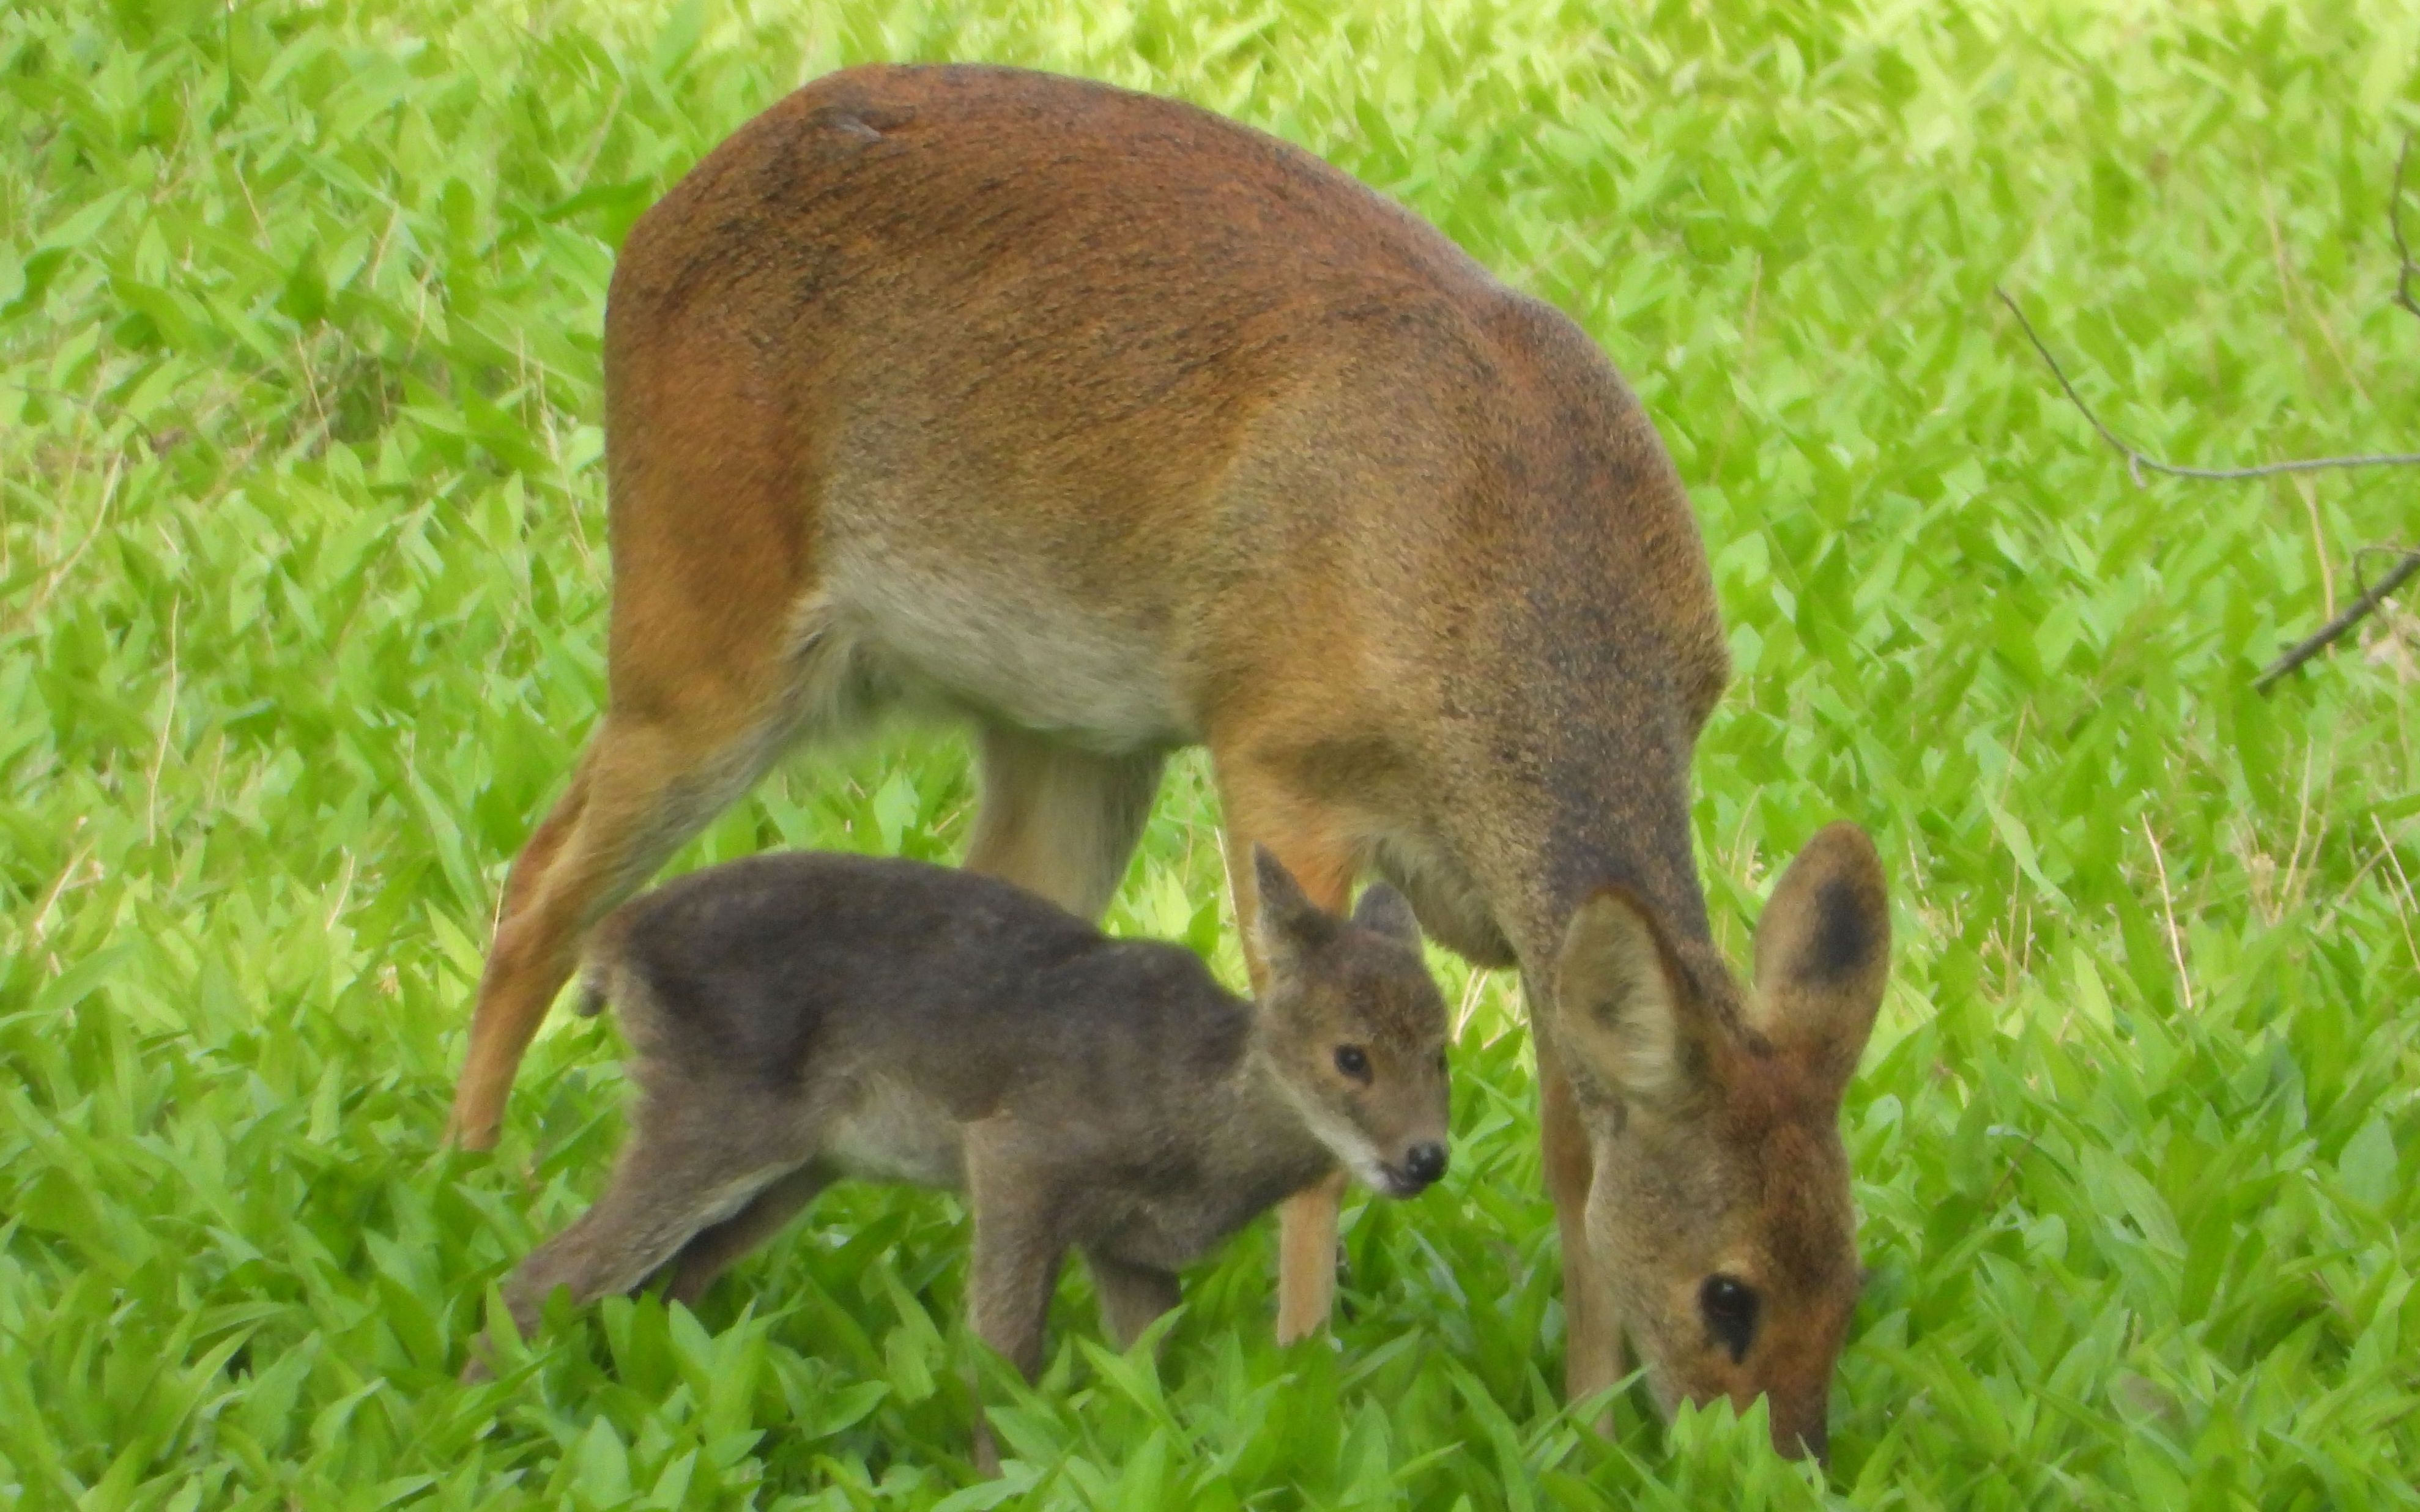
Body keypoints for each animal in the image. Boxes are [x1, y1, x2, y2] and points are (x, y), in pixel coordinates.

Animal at [481, 851, 1442, 1461]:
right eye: (1350, 1057)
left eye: (1442, 1053)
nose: (1426, 1160)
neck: (1191, 1114)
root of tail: (614, 942)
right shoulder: (1019, 1154)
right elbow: (1004, 1355)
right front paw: (1003, 1473)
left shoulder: (1128, 1246)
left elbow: (1147, 1373)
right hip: (711, 1119)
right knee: (542, 1276)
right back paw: (491, 1416)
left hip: (795, 1167)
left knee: (665, 1284)